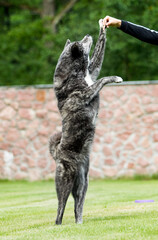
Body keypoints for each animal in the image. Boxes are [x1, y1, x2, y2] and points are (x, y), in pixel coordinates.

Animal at [49, 19, 122, 225]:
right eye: (81, 43)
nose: (88, 35)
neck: (74, 74)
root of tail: (57, 153)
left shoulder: (93, 71)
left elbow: (98, 57)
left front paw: (103, 27)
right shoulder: (86, 93)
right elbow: (102, 79)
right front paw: (115, 78)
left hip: (83, 184)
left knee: (77, 207)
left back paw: (79, 224)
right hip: (64, 181)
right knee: (60, 208)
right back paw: (58, 225)